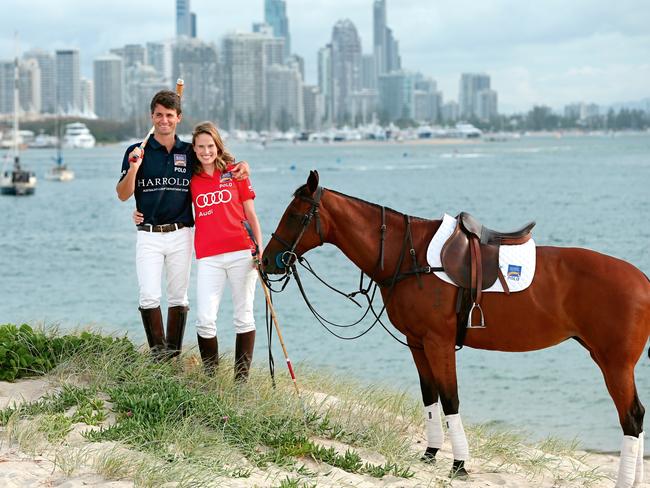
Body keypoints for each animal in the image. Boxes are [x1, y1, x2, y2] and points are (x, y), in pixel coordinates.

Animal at [260, 171, 648, 484]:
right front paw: (431, 453)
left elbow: (450, 398)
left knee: (631, 418)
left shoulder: (439, 342)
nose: (267, 261)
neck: (410, 256)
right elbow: (430, 396)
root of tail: (642, 280)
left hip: (614, 363)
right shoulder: (417, 342)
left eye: (295, 215)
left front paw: (459, 464)